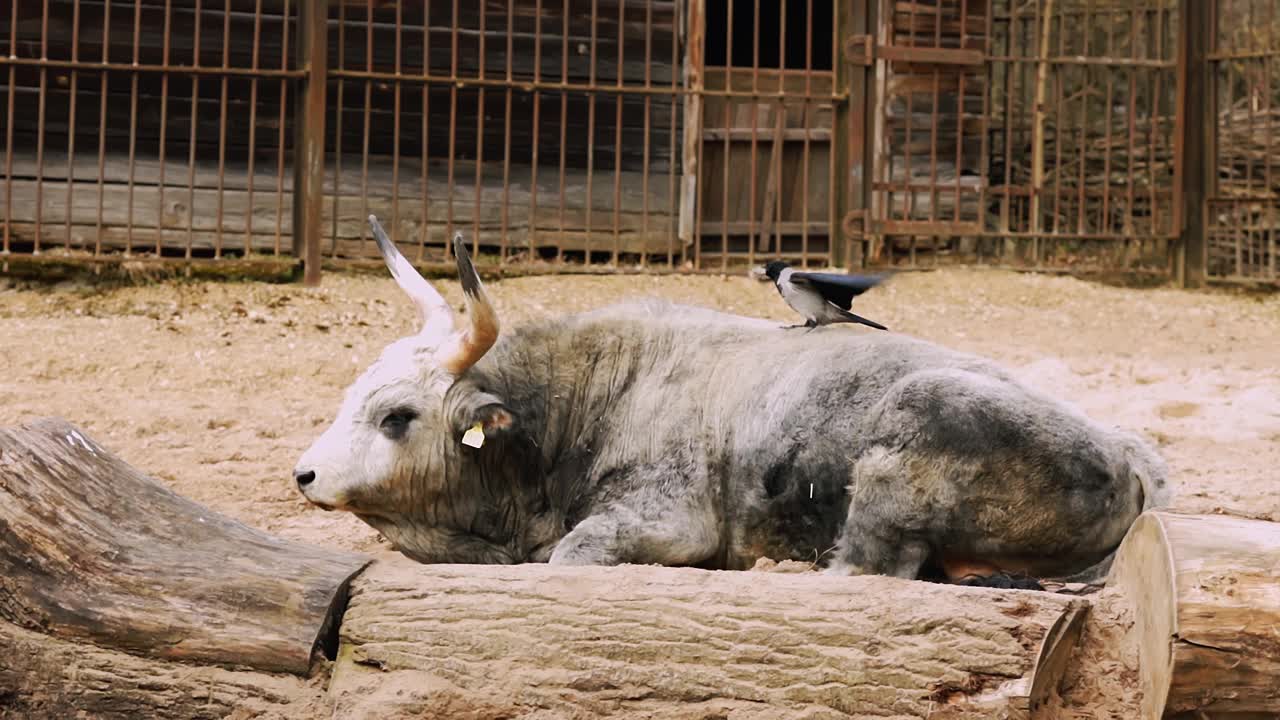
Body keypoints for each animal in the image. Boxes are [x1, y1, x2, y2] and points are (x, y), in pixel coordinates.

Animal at [294, 215, 1172, 586]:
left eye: (397, 416)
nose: (303, 475)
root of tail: (1130, 460)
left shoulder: (665, 520)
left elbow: (574, 555)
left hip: (901, 447)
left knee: (869, 566)